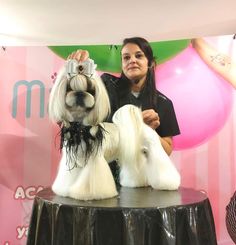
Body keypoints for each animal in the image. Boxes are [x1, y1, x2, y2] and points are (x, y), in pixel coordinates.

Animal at [48, 59, 181, 201]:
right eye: (68, 88)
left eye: (91, 89)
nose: (80, 93)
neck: (80, 130)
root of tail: (141, 124)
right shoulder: (73, 159)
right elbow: (69, 178)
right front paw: (64, 190)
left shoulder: (94, 161)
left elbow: (89, 181)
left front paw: (87, 194)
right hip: (135, 154)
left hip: (153, 150)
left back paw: (168, 183)